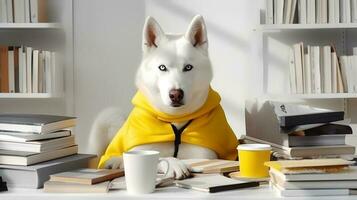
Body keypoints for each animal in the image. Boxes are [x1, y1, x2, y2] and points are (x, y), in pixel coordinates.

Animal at [88, 14, 229, 179]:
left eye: (188, 67)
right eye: (162, 67)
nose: (176, 94)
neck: (175, 119)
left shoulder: (204, 155)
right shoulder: (141, 149)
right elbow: (160, 157)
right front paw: (174, 164)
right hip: (110, 116)